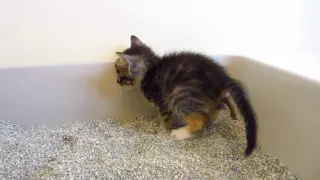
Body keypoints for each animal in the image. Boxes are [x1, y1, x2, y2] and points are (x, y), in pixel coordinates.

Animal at [114, 35, 258, 156]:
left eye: (119, 72)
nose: (117, 82)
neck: (151, 68)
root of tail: (223, 78)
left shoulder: (162, 100)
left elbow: (165, 118)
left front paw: (163, 130)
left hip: (180, 93)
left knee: (200, 119)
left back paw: (180, 133)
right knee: (218, 107)